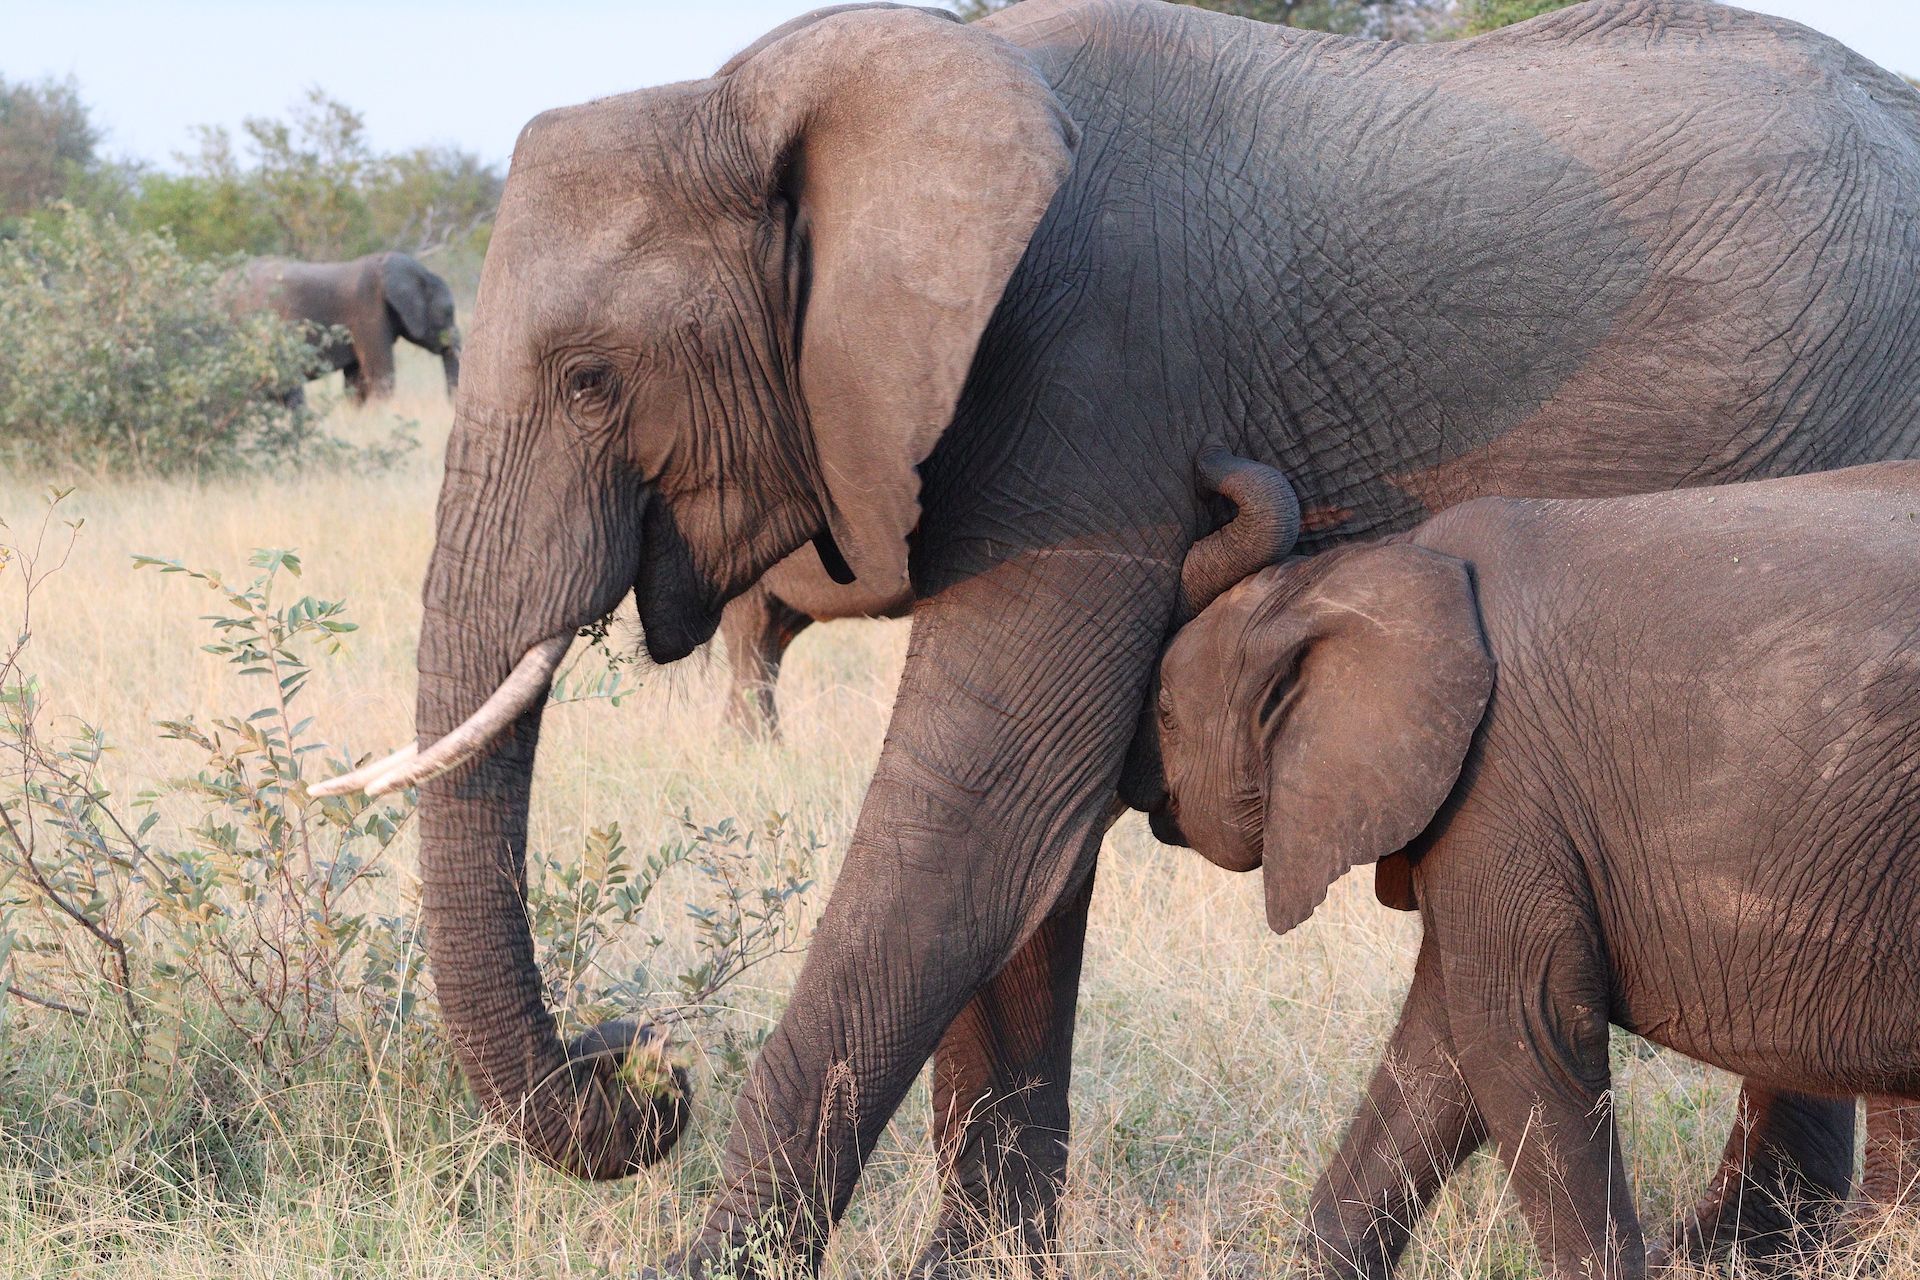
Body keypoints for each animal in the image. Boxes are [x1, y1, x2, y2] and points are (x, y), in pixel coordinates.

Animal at [1145, 458, 1920, 1279]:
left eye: (1163, 710)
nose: (1211, 466)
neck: (1370, 571)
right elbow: (1437, 1058)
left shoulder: (1501, 781)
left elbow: (1520, 1031)